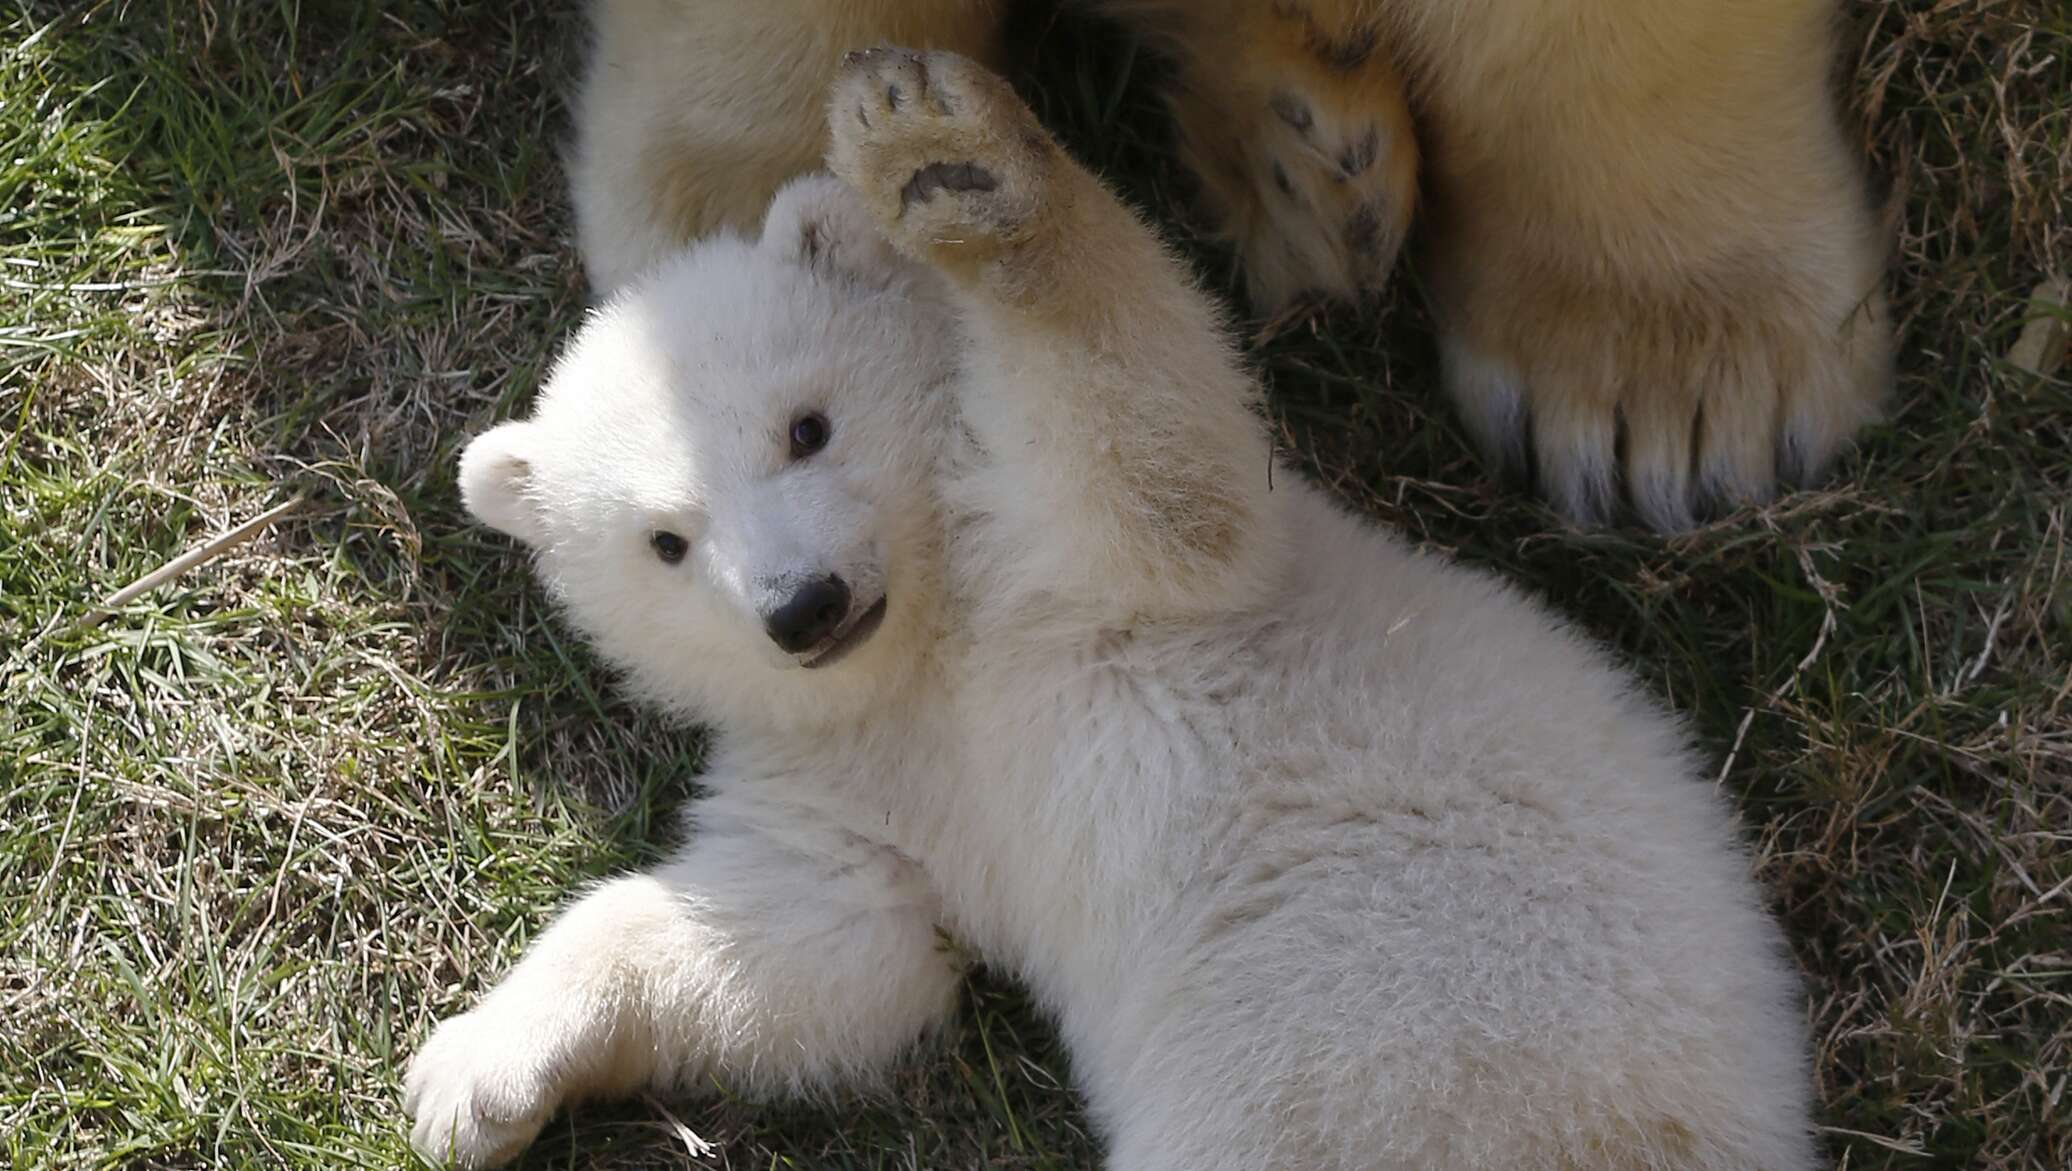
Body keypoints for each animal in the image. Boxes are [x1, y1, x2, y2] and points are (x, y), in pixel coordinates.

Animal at [412, 50, 1823, 1168]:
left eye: (805, 425)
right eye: (665, 540)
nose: (803, 607)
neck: (933, 644)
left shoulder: (1059, 569)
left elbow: (1161, 482)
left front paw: (952, 169)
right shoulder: (862, 777)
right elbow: (821, 941)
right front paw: (472, 1074)